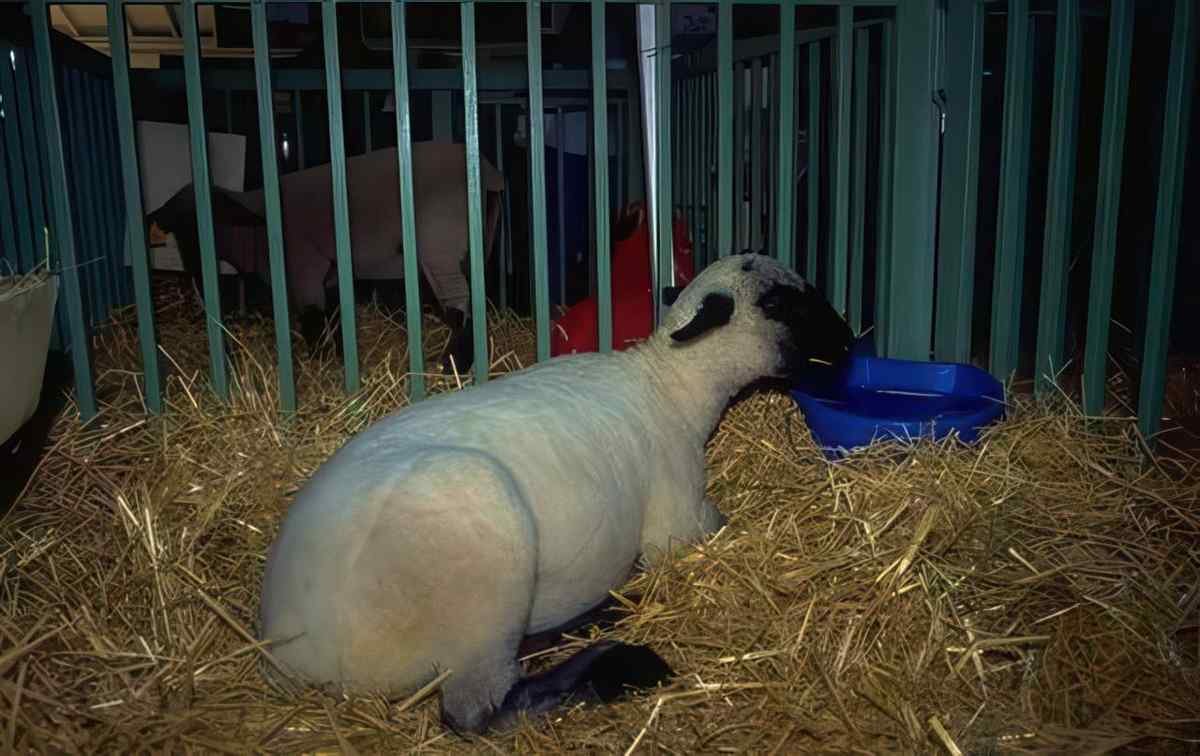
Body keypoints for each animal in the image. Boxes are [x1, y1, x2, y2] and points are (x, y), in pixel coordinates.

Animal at [256, 251, 855, 735]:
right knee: (476, 711)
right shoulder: (681, 522)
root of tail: (285, 657)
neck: (672, 386)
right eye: (779, 302)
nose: (849, 344)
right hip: (483, 575)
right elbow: (706, 534)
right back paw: (615, 661)